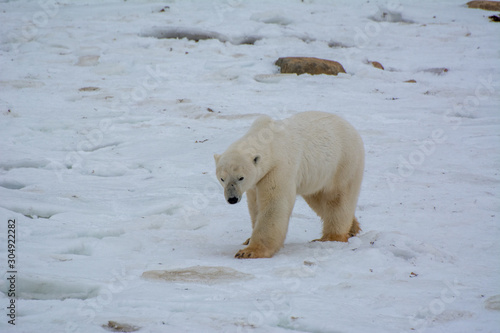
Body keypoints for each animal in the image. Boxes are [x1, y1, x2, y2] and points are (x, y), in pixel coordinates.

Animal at [214, 110, 364, 258]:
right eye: (222, 178)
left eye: (241, 177)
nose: (232, 199)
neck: (268, 141)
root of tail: (352, 128)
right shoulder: (255, 182)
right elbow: (255, 205)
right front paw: (248, 240)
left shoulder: (278, 168)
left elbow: (274, 204)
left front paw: (249, 251)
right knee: (318, 199)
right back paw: (353, 228)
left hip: (343, 163)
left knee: (337, 199)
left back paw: (331, 237)